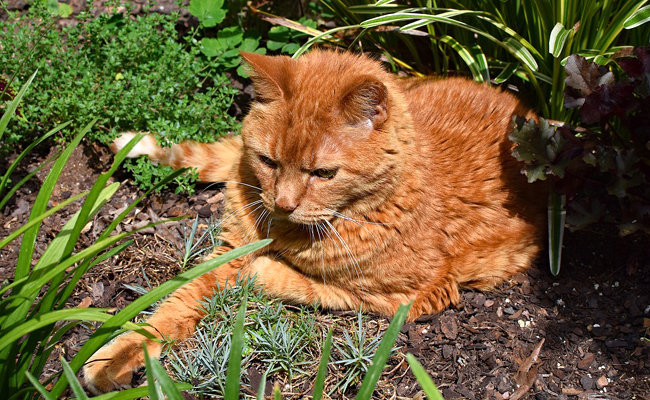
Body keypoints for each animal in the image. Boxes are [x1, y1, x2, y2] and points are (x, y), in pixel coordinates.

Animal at [83, 50, 544, 394]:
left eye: (323, 174)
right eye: (269, 161)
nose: (283, 202)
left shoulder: (410, 297)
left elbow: (300, 283)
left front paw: (261, 270)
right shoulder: (230, 244)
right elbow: (174, 303)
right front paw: (116, 355)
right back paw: (136, 146)